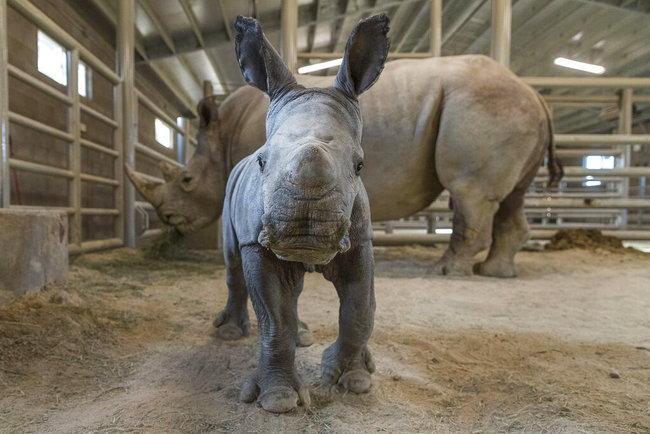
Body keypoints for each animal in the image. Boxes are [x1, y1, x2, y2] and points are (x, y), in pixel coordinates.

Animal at [125, 54, 556, 278]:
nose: (167, 220)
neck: (222, 135)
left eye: (186, 179)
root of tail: (534, 91)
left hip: (484, 105)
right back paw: (495, 273)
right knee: (512, 198)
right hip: (508, 109)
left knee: (471, 194)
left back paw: (445, 271)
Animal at [220, 15, 388, 412]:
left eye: (360, 165)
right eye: (262, 162)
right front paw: (278, 399)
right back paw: (230, 334)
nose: (303, 233)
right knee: (232, 261)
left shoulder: (360, 239)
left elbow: (359, 307)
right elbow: (273, 320)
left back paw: (303, 339)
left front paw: (353, 380)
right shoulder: (256, 243)